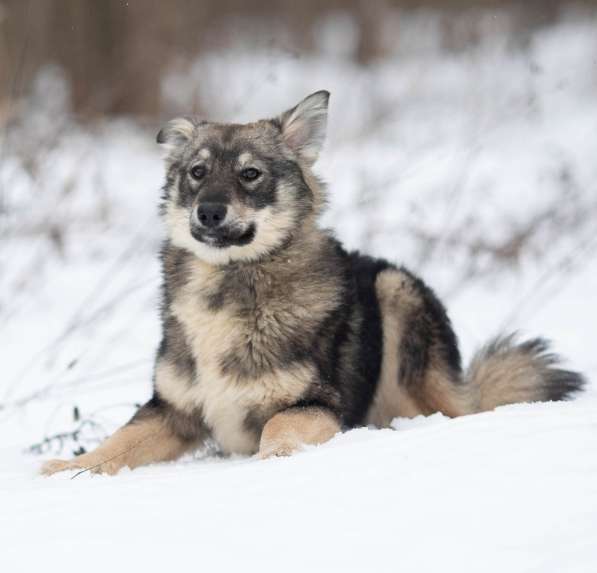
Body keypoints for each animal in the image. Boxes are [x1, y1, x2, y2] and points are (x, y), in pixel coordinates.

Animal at [40, 89, 584, 474]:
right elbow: (117, 442)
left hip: (397, 297)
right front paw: (69, 468)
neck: (232, 282)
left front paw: (271, 466)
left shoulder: (316, 405)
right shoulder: (170, 411)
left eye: (250, 174)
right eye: (196, 172)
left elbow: (277, 430)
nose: (209, 211)